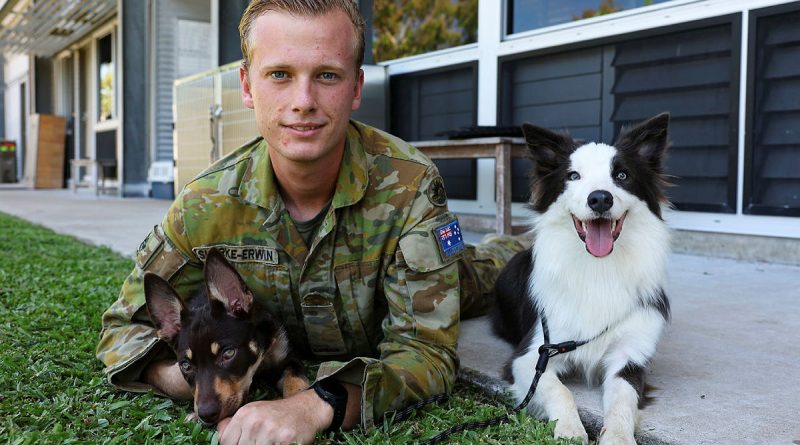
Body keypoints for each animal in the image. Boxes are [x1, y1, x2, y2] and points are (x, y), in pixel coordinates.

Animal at [142, 246, 308, 424]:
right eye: (185, 366)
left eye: (228, 353)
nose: (206, 415)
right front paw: (194, 415)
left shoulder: (287, 353)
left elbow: (295, 381)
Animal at [490, 112, 672, 442]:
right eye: (573, 176)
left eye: (622, 175)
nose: (600, 199)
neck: (598, 267)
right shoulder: (532, 355)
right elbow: (558, 390)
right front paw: (570, 429)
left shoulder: (630, 356)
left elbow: (623, 399)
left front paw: (618, 437)